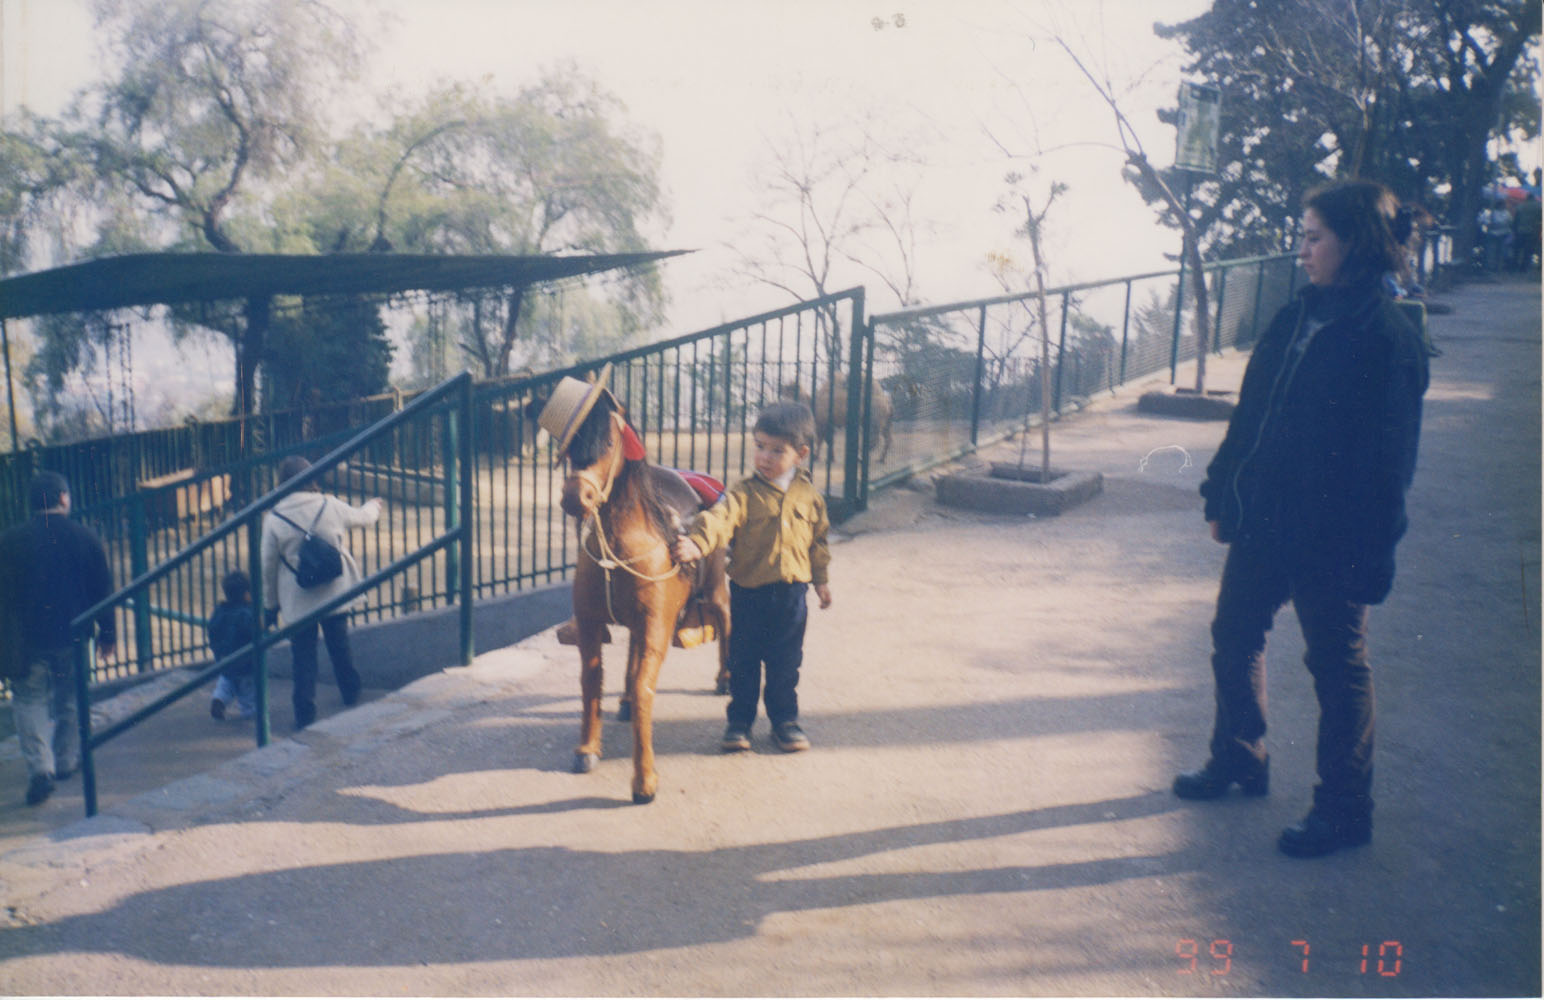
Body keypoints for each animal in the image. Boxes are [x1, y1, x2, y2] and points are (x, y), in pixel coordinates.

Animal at [555, 387, 728, 802]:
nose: (574, 497)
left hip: (716, 591)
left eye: (608, 441)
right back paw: (625, 703)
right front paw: (587, 749)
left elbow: (644, 684)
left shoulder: (656, 627)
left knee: (728, 624)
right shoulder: (590, 623)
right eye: (571, 445)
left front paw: (644, 779)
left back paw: (725, 678)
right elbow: (591, 679)